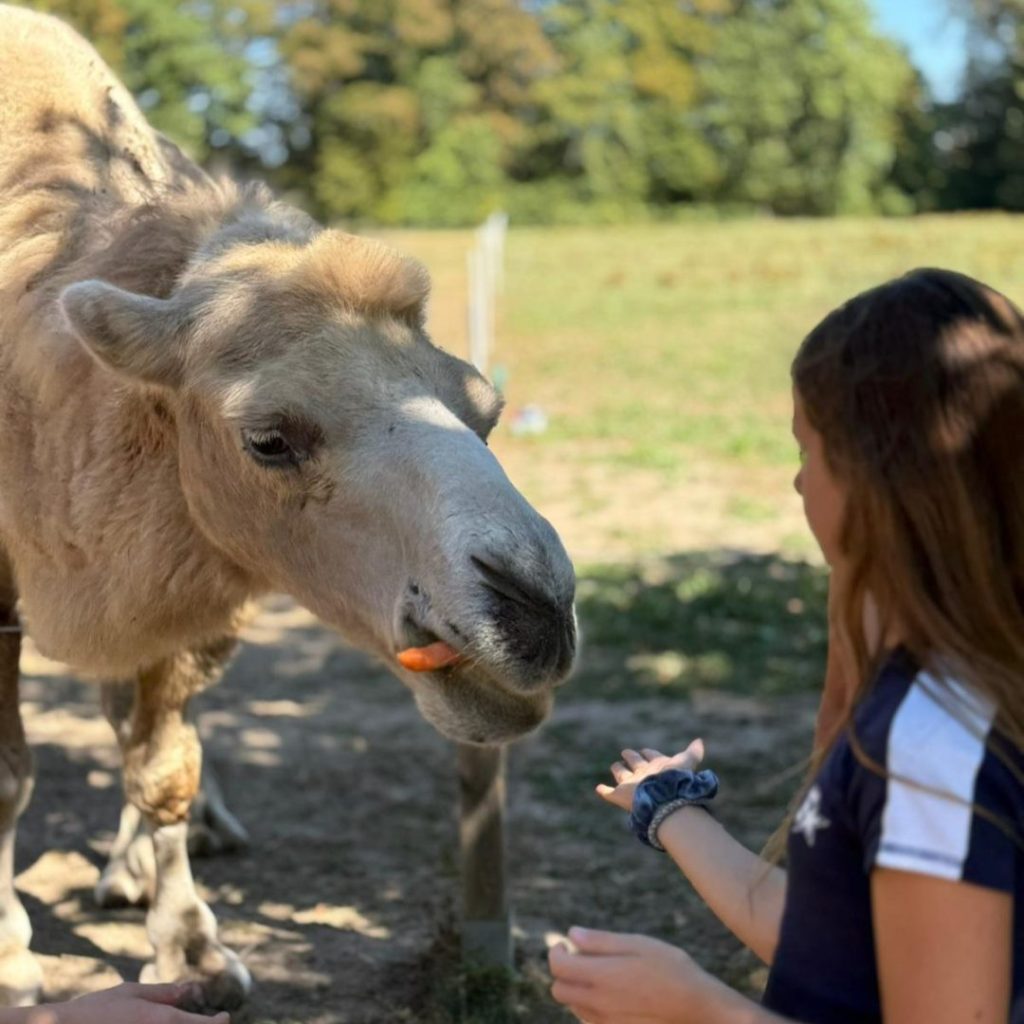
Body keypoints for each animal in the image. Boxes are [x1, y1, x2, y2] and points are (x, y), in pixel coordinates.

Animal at [0, 5, 577, 1012]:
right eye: (269, 438)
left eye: (486, 406)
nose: (536, 609)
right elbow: (7, 778)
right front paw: (8, 960)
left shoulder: (181, 569)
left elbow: (167, 769)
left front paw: (192, 952)